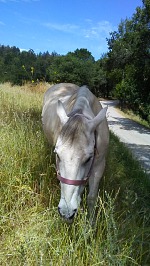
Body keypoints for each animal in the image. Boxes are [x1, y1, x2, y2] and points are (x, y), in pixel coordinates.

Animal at [42, 83, 109, 222]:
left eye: (88, 158)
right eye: (58, 155)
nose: (66, 212)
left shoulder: (99, 166)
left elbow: (91, 197)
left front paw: (90, 224)